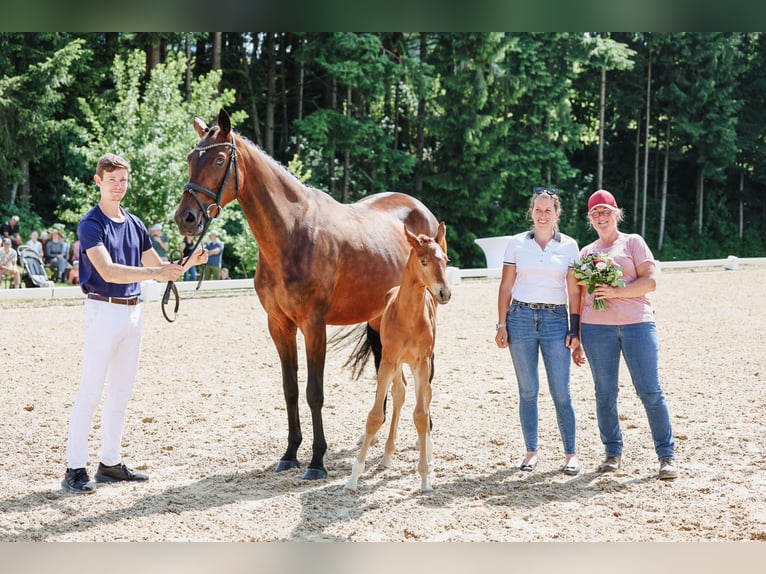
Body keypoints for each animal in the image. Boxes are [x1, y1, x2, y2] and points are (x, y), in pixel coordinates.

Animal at [172, 109, 440, 482]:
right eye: (190, 159)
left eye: (219, 159)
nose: (186, 217)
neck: (291, 233)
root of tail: (422, 211)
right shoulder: (279, 325)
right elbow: (291, 390)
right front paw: (290, 453)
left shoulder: (314, 326)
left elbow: (315, 392)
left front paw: (316, 460)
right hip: (380, 321)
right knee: (393, 382)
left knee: (425, 379)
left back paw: (423, 434)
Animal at [346, 220, 450, 496]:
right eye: (423, 261)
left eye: (446, 260)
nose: (444, 293)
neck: (408, 317)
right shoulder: (388, 361)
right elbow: (375, 415)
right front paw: (353, 477)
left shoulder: (422, 362)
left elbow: (421, 415)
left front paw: (425, 479)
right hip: (395, 363)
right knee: (399, 393)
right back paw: (387, 455)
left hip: (424, 364)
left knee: (425, 396)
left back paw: (426, 453)